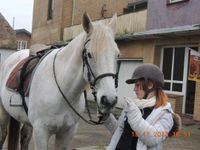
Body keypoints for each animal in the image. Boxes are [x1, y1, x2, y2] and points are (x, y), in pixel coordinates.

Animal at [0, 13, 119, 150]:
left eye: (117, 55)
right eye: (89, 54)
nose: (109, 100)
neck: (62, 91)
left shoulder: (67, 132)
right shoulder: (41, 132)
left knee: (24, 137)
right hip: (4, 112)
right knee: (3, 134)